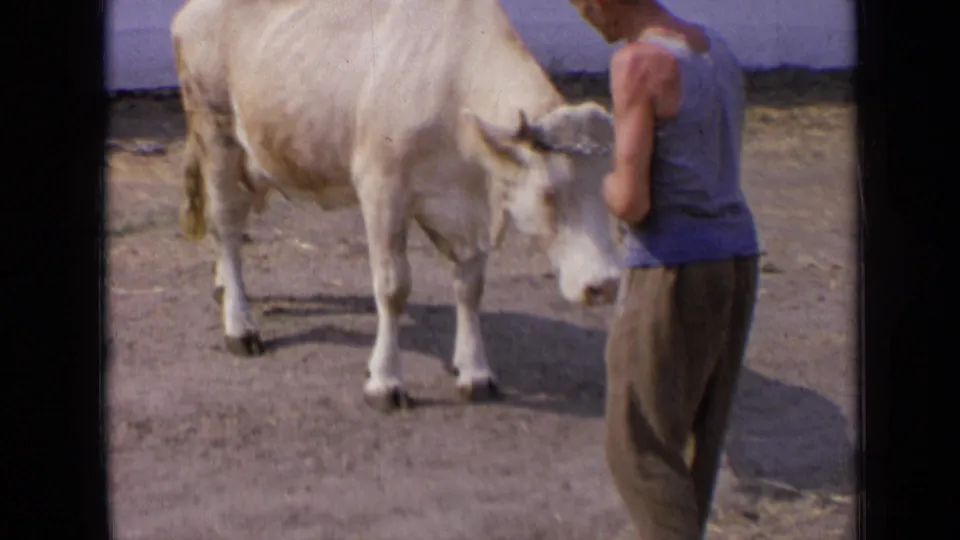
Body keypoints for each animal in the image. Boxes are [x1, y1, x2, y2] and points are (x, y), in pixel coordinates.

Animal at [172, 0, 622, 412]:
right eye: (549, 192)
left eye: (608, 192)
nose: (605, 284)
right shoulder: (382, 189)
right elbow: (392, 288)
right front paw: (385, 381)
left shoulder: (468, 209)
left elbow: (470, 288)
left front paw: (475, 372)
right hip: (216, 135)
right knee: (226, 227)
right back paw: (240, 325)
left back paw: (224, 287)